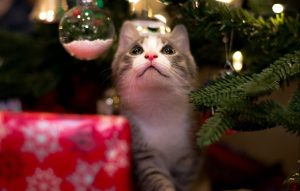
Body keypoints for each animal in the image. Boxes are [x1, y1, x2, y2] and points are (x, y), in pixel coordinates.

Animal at [111, 20, 200, 191]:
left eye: (168, 50)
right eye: (136, 50)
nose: (151, 55)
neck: (157, 103)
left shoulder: (188, 158)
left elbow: (184, 181)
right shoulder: (143, 154)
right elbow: (154, 177)